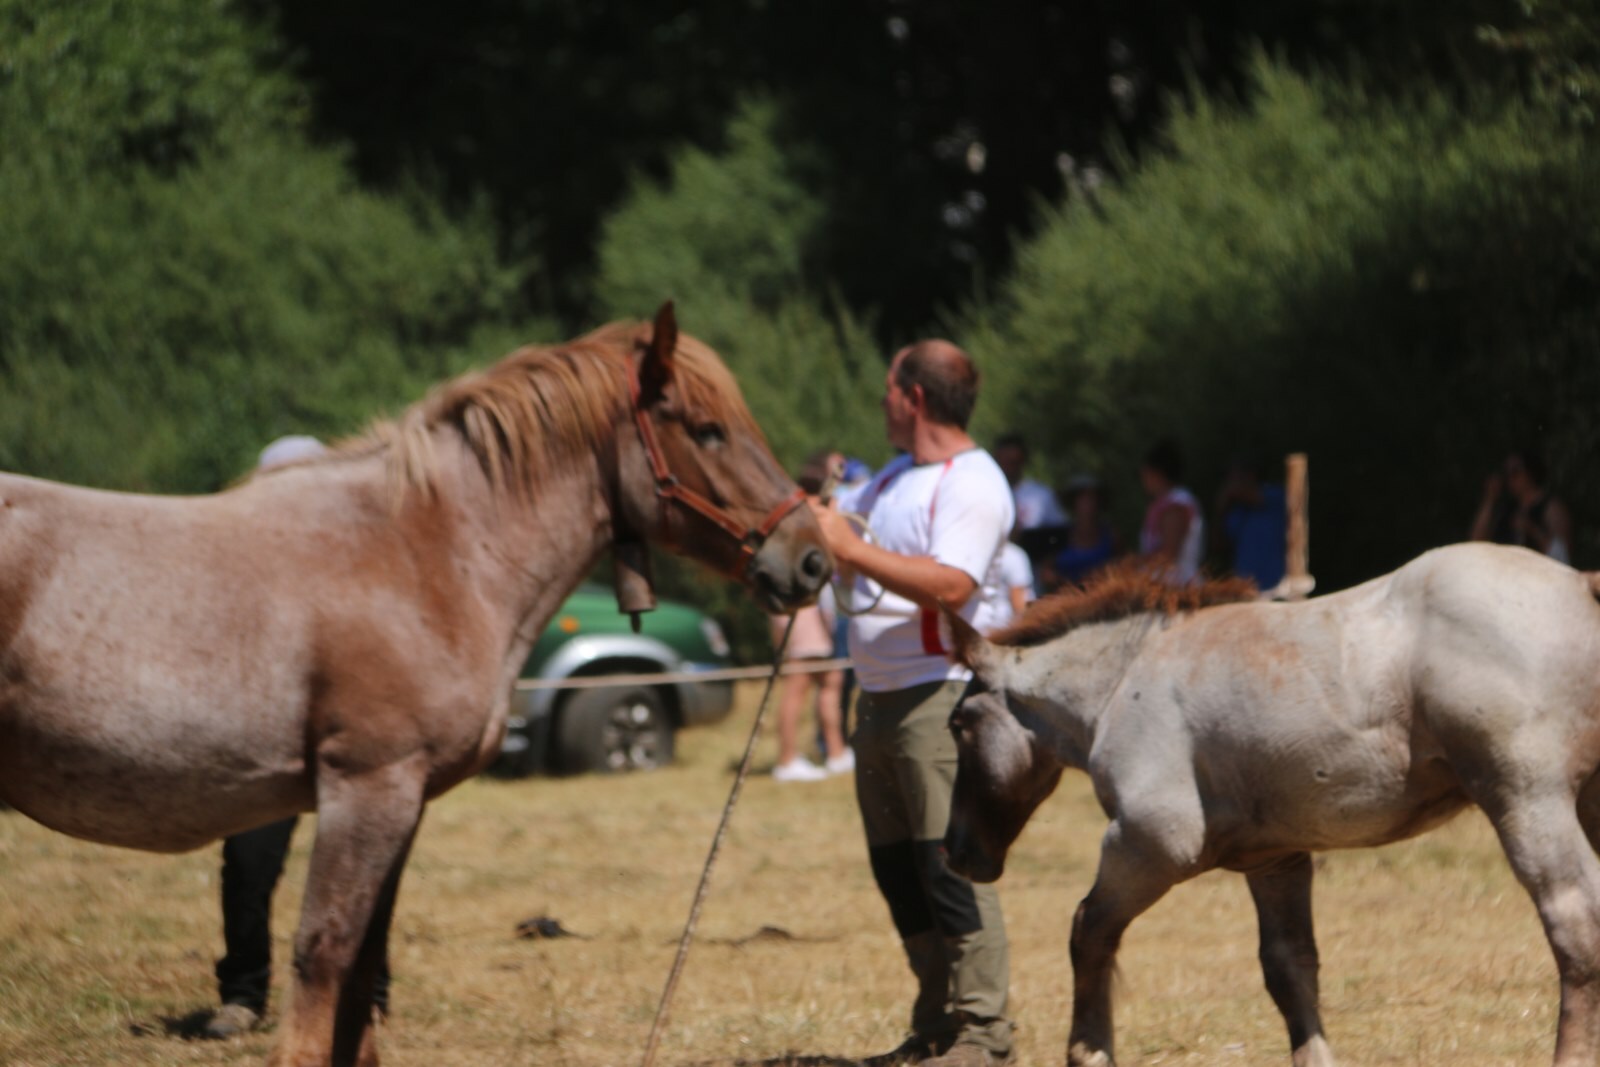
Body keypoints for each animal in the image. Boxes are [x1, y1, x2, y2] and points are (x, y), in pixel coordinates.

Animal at [940, 543, 1600, 1067]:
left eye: (959, 724)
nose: (956, 852)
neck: (1123, 681)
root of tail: (1580, 585)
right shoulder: (1275, 859)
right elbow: (1289, 968)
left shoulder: (1147, 845)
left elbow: (1089, 931)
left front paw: (1089, 1051)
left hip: (1526, 801)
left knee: (1574, 925)